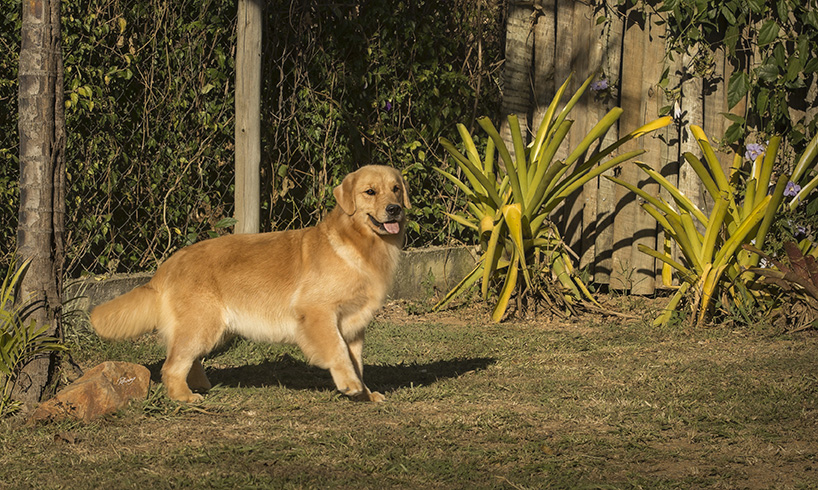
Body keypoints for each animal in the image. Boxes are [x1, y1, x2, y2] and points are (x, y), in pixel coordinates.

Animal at [91, 165, 408, 402]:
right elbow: (339, 353)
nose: (395, 209)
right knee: (171, 365)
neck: (358, 244)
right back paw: (184, 396)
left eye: (396, 188)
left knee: (187, 359)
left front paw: (365, 393)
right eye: (370, 192)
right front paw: (350, 386)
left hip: (209, 328)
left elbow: (357, 362)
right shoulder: (317, 312)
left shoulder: (354, 325)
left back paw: (199, 385)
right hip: (201, 325)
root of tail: (167, 265)